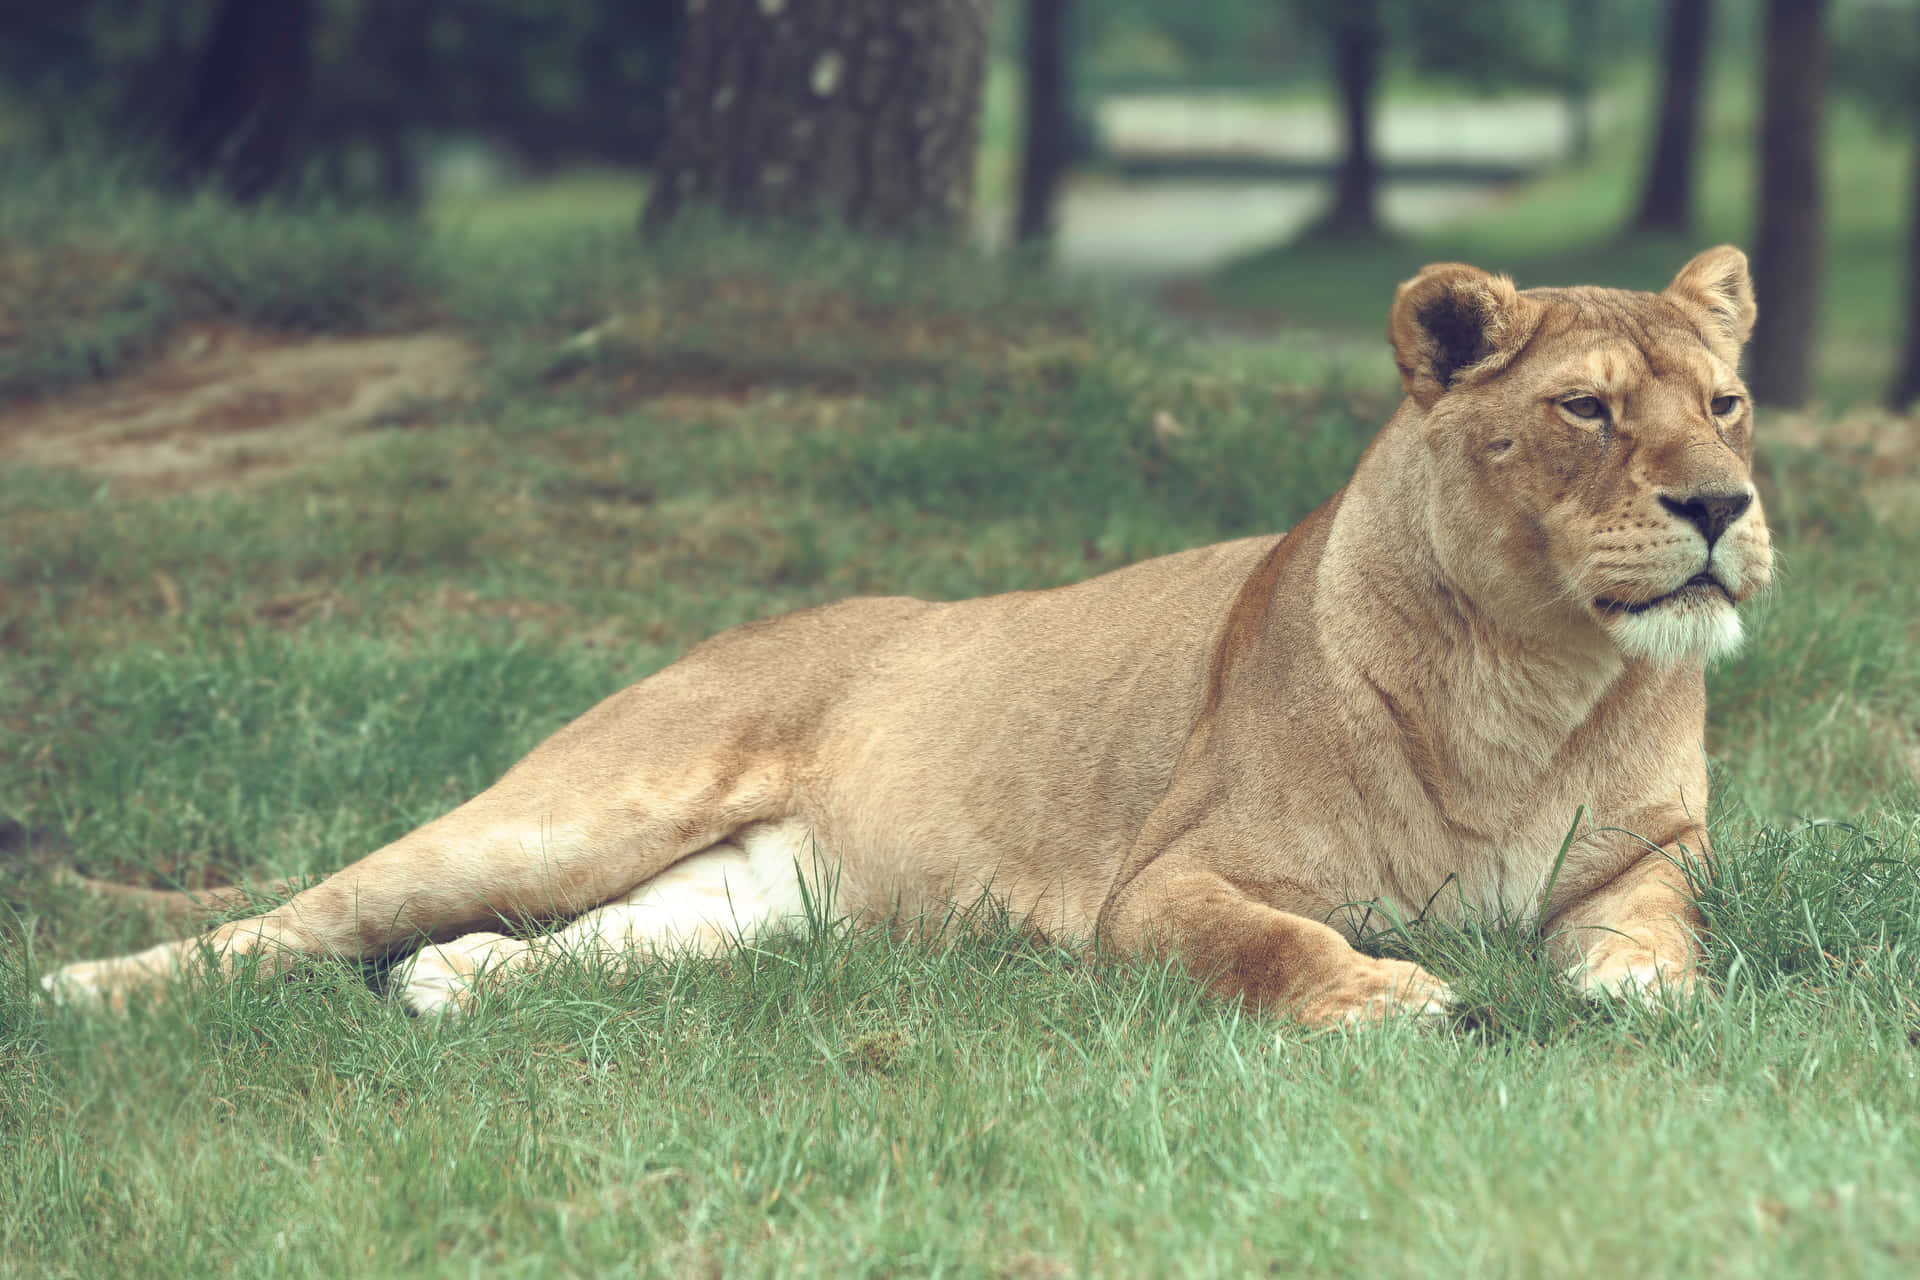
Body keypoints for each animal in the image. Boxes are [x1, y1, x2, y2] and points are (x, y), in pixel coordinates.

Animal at [43, 247, 1771, 1025]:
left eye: (1726, 401)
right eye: (1588, 409)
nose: (1721, 505)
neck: (1537, 672)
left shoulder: (1642, 860)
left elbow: (1655, 940)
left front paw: (1649, 1009)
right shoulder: (1164, 887)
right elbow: (1268, 942)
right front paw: (1393, 1001)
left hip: (741, 907)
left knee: (549, 945)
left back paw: (451, 987)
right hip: (571, 809)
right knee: (307, 916)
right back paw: (84, 989)